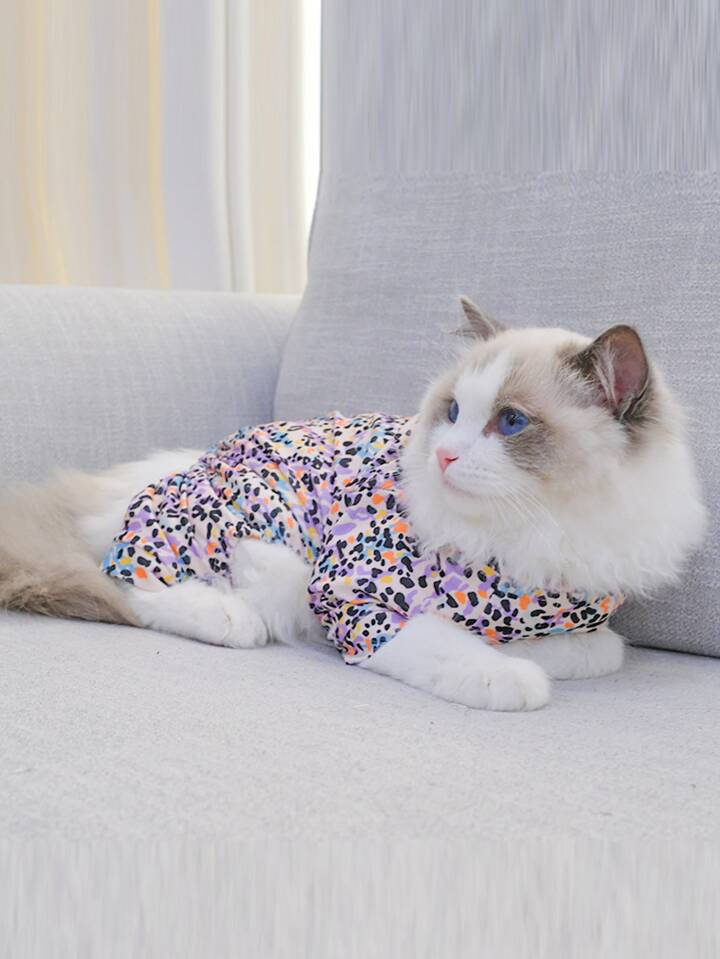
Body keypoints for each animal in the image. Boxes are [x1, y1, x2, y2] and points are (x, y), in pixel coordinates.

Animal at [0, 298, 706, 711]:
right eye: (454, 412)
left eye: (510, 422)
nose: (444, 456)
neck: (535, 533)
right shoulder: (358, 602)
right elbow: (451, 646)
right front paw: (510, 672)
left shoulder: (579, 617)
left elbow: (594, 649)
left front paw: (524, 651)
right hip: (264, 544)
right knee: (129, 583)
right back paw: (225, 617)